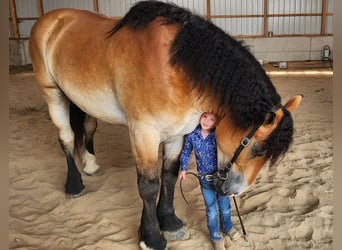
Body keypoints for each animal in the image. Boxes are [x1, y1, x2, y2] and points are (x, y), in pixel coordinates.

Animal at [29, 0, 302, 249]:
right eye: (255, 148)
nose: (233, 192)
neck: (176, 70)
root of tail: (52, 19)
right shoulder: (143, 133)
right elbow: (149, 186)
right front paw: (151, 237)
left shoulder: (177, 134)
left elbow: (169, 176)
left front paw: (170, 223)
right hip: (52, 95)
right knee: (65, 138)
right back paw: (74, 185)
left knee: (88, 129)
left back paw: (91, 165)